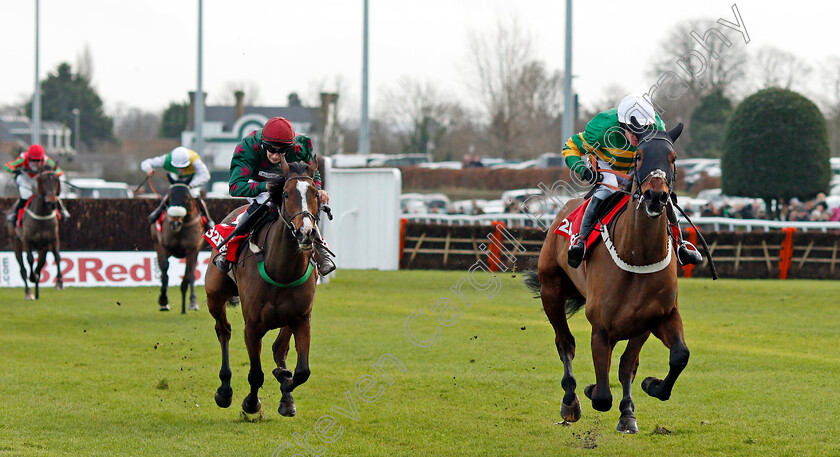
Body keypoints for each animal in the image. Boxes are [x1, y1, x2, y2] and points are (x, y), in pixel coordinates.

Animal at [5, 167, 63, 300]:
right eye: (43, 180)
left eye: (56, 180)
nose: (52, 202)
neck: (42, 215)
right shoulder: (27, 241)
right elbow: (30, 260)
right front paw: (32, 278)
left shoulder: (52, 239)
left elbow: (56, 257)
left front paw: (59, 283)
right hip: (16, 243)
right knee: (23, 269)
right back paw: (29, 292)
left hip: (43, 248)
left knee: (40, 266)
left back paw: (36, 289)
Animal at [151, 182, 205, 314]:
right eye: (169, 198)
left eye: (187, 198)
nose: (175, 222)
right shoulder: (162, 246)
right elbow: (164, 271)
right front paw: (163, 301)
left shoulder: (192, 249)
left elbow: (190, 274)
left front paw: (192, 302)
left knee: (190, 274)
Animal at [205, 156, 320, 416]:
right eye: (286, 194)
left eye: (316, 193)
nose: (306, 232)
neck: (281, 270)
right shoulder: (252, 325)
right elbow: (256, 374)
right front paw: (250, 403)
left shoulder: (301, 318)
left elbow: (302, 371)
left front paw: (284, 380)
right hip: (214, 296)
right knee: (223, 330)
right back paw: (224, 390)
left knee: (279, 347)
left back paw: (286, 395)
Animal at [524, 123, 688, 432]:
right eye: (639, 156)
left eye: (673, 158)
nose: (656, 196)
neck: (637, 256)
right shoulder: (600, 326)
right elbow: (601, 396)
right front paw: (590, 391)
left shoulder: (656, 318)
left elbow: (669, 358)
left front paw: (641, 396)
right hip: (551, 290)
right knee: (565, 343)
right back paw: (570, 400)